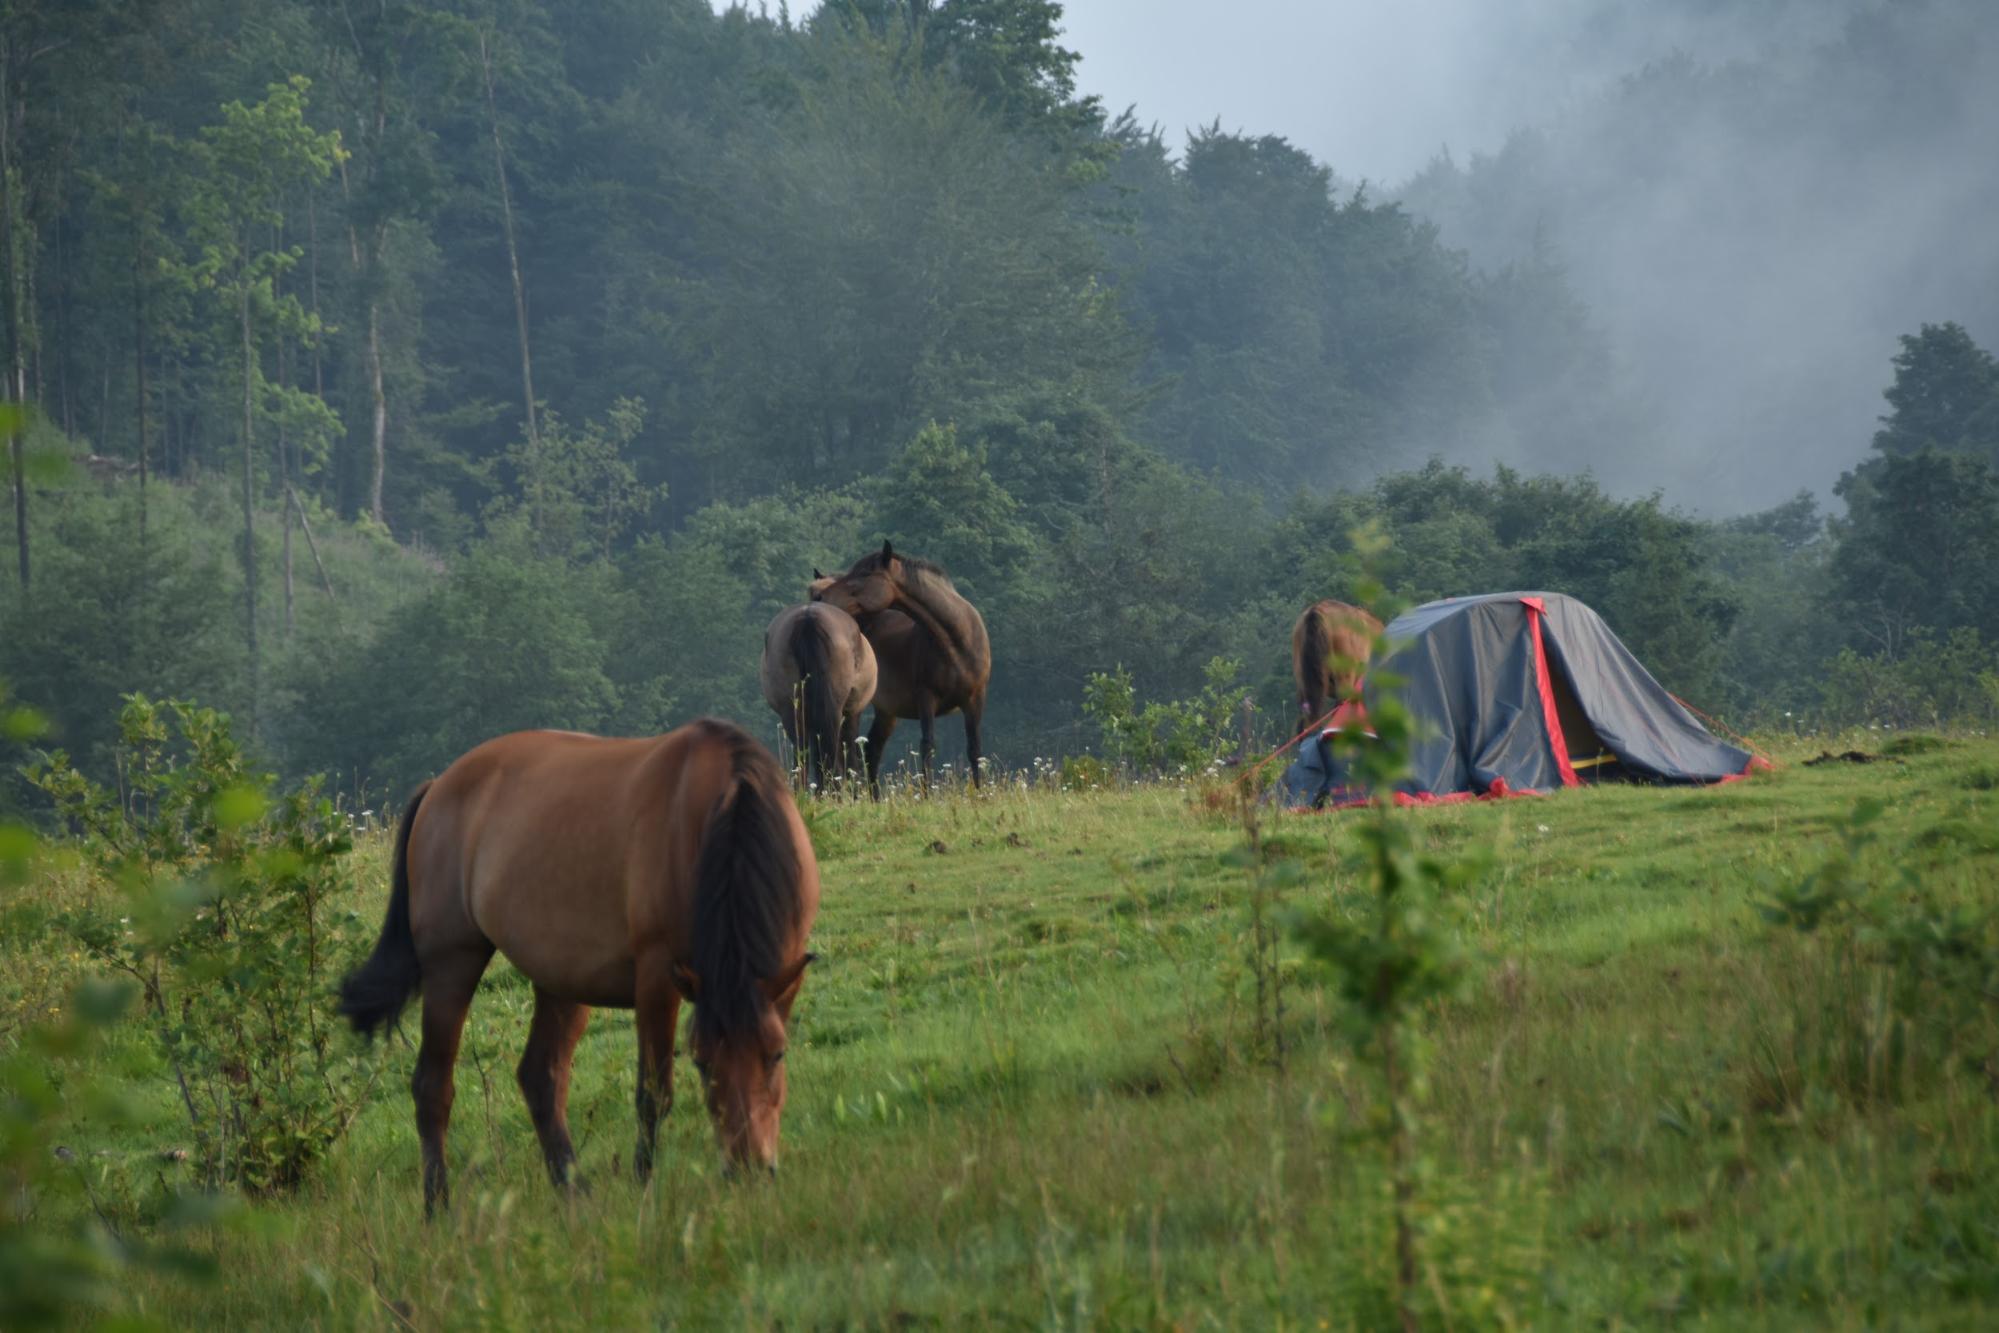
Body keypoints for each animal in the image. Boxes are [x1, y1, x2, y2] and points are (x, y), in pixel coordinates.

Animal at [339, 723, 815, 1215]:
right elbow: (654, 1093)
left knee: (541, 1077)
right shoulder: (657, 977)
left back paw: (573, 1191)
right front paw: (644, 1184)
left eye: (777, 1054)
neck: (722, 805)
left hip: (562, 981)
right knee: (433, 1087)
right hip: (451, 963)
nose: (749, 1168)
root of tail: (438, 788)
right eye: (701, 1062)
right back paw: (438, 1206)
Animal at [811, 543, 991, 791]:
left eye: (864, 574)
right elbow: (928, 745)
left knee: (871, 750)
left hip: (887, 712)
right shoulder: (927, 697)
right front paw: (926, 793)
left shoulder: (974, 699)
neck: (956, 641)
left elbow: (975, 749)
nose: (821, 596)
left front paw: (980, 793)